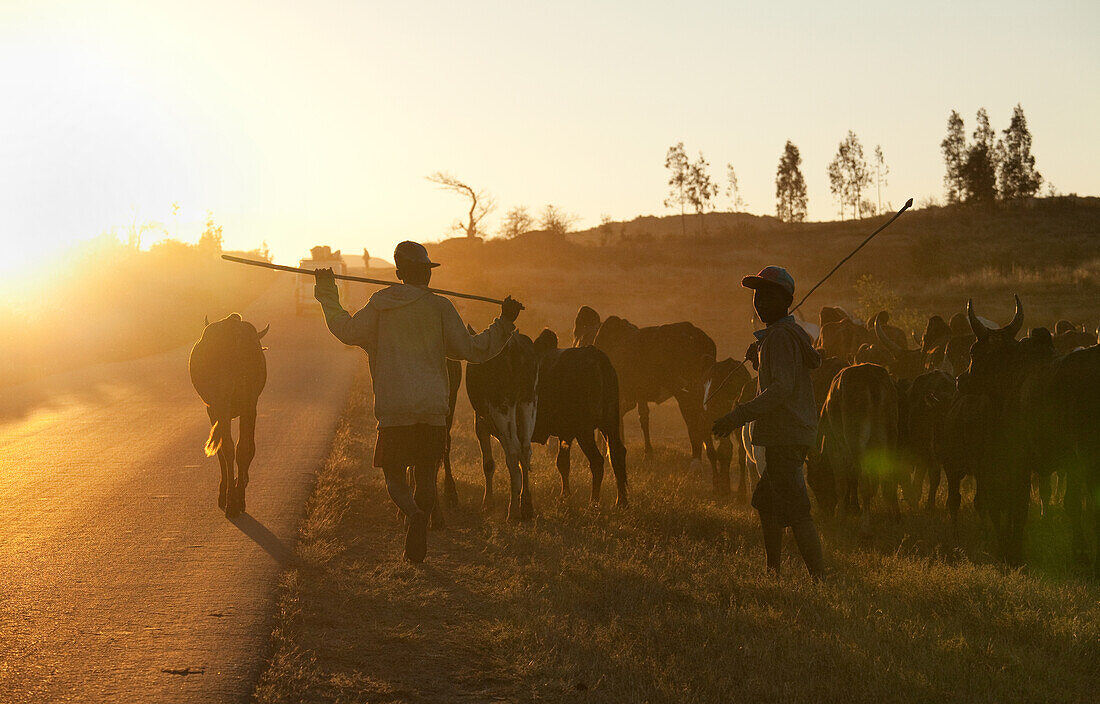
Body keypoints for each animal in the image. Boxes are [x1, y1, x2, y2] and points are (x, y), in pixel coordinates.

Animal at [188, 312, 267, 517]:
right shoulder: (248, 407)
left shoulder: (216, 410)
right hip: (239, 405)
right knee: (239, 448)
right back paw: (236, 499)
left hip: (225, 406)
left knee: (232, 448)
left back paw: (232, 500)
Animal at [464, 332, 536, 523]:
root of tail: (514, 346)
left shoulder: (481, 425)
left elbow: (488, 464)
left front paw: (488, 503)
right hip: (529, 404)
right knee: (525, 450)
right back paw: (526, 506)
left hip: (501, 409)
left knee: (513, 453)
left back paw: (513, 511)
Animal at [532, 330, 629, 506]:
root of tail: (596, 357)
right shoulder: (565, 434)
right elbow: (563, 463)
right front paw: (565, 495)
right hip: (609, 423)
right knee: (617, 454)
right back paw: (621, 502)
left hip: (585, 430)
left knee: (597, 461)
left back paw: (594, 501)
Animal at [589, 310, 717, 470]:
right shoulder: (637, 395)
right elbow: (642, 418)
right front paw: (647, 453)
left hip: (686, 393)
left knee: (693, 423)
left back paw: (696, 462)